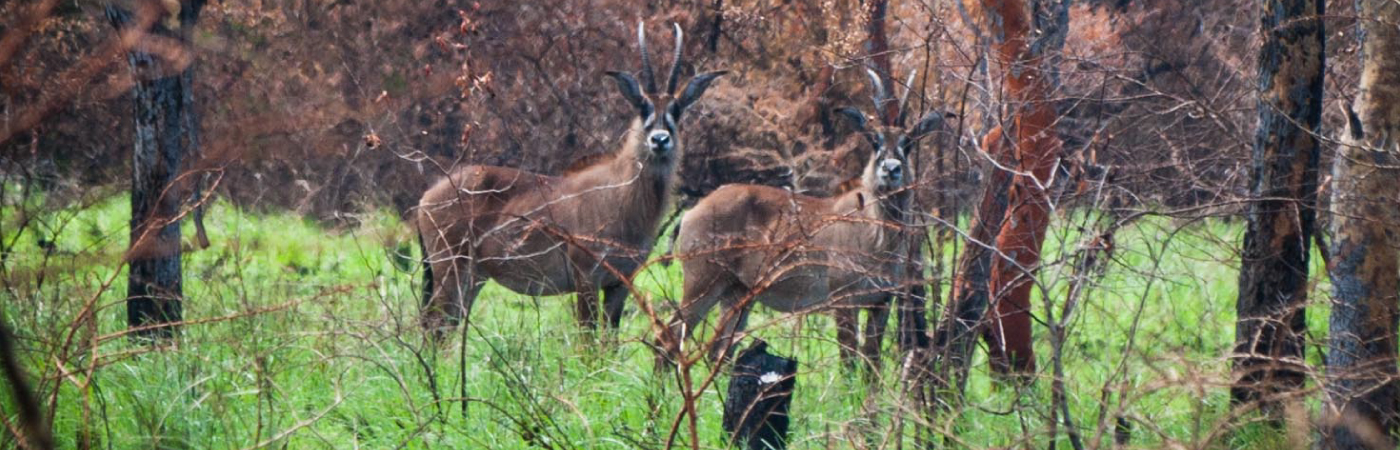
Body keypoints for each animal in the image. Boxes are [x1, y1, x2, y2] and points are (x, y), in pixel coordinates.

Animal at [415, 22, 726, 334]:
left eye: (676, 109)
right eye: (643, 106)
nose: (659, 140)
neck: (622, 193)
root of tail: (426, 198)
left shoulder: (620, 283)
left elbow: (609, 338)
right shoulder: (585, 277)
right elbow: (586, 336)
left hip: (472, 277)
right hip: (451, 269)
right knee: (433, 323)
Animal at [662, 69, 947, 372]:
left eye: (908, 143)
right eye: (875, 140)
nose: (891, 169)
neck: (877, 231)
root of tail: (691, 212)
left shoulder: (881, 302)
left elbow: (871, 362)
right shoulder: (842, 301)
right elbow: (848, 362)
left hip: (737, 294)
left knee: (718, 351)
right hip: (702, 283)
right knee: (669, 336)